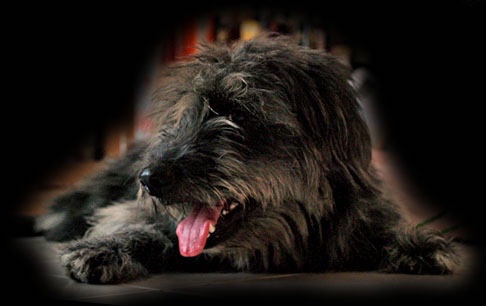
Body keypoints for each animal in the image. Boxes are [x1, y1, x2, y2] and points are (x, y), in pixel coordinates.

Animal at [35, 32, 460, 284]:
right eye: (182, 117)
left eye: (236, 113)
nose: (148, 178)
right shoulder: (137, 211)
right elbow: (137, 225)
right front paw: (105, 248)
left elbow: (385, 227)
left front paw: (417, 243)